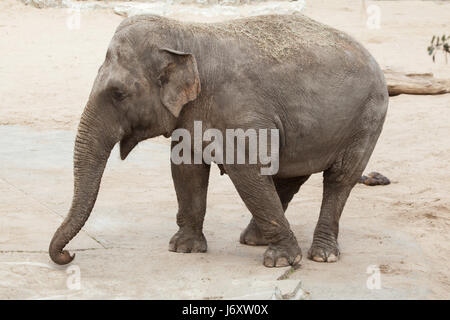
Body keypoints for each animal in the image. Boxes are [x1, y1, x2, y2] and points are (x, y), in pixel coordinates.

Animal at [48, 13, 386, 268]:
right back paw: (254, 239)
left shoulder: (242, 113)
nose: (69, 254)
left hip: (367, 120)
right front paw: (184, 249)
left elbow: (247, 172)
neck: (185, 35)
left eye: (118, 94)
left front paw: (282, 262)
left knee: (340, 179)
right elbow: (186, 169)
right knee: (291, 176)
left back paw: (322, 255)